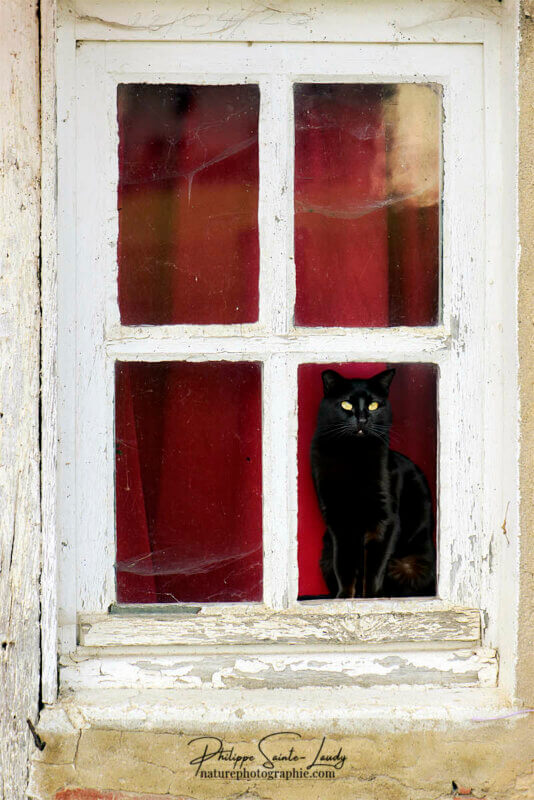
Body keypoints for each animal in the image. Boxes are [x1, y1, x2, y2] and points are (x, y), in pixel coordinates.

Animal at [312, 366, 438, 596]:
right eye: (346, 404)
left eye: (374, 405)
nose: (362, 419)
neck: (352, 456)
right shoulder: (337, 519)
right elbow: (343, 564)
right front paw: (344, 597)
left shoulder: (384, 518)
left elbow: (374, 566)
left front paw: (370, 597)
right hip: (325, 554)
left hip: (412, 565)